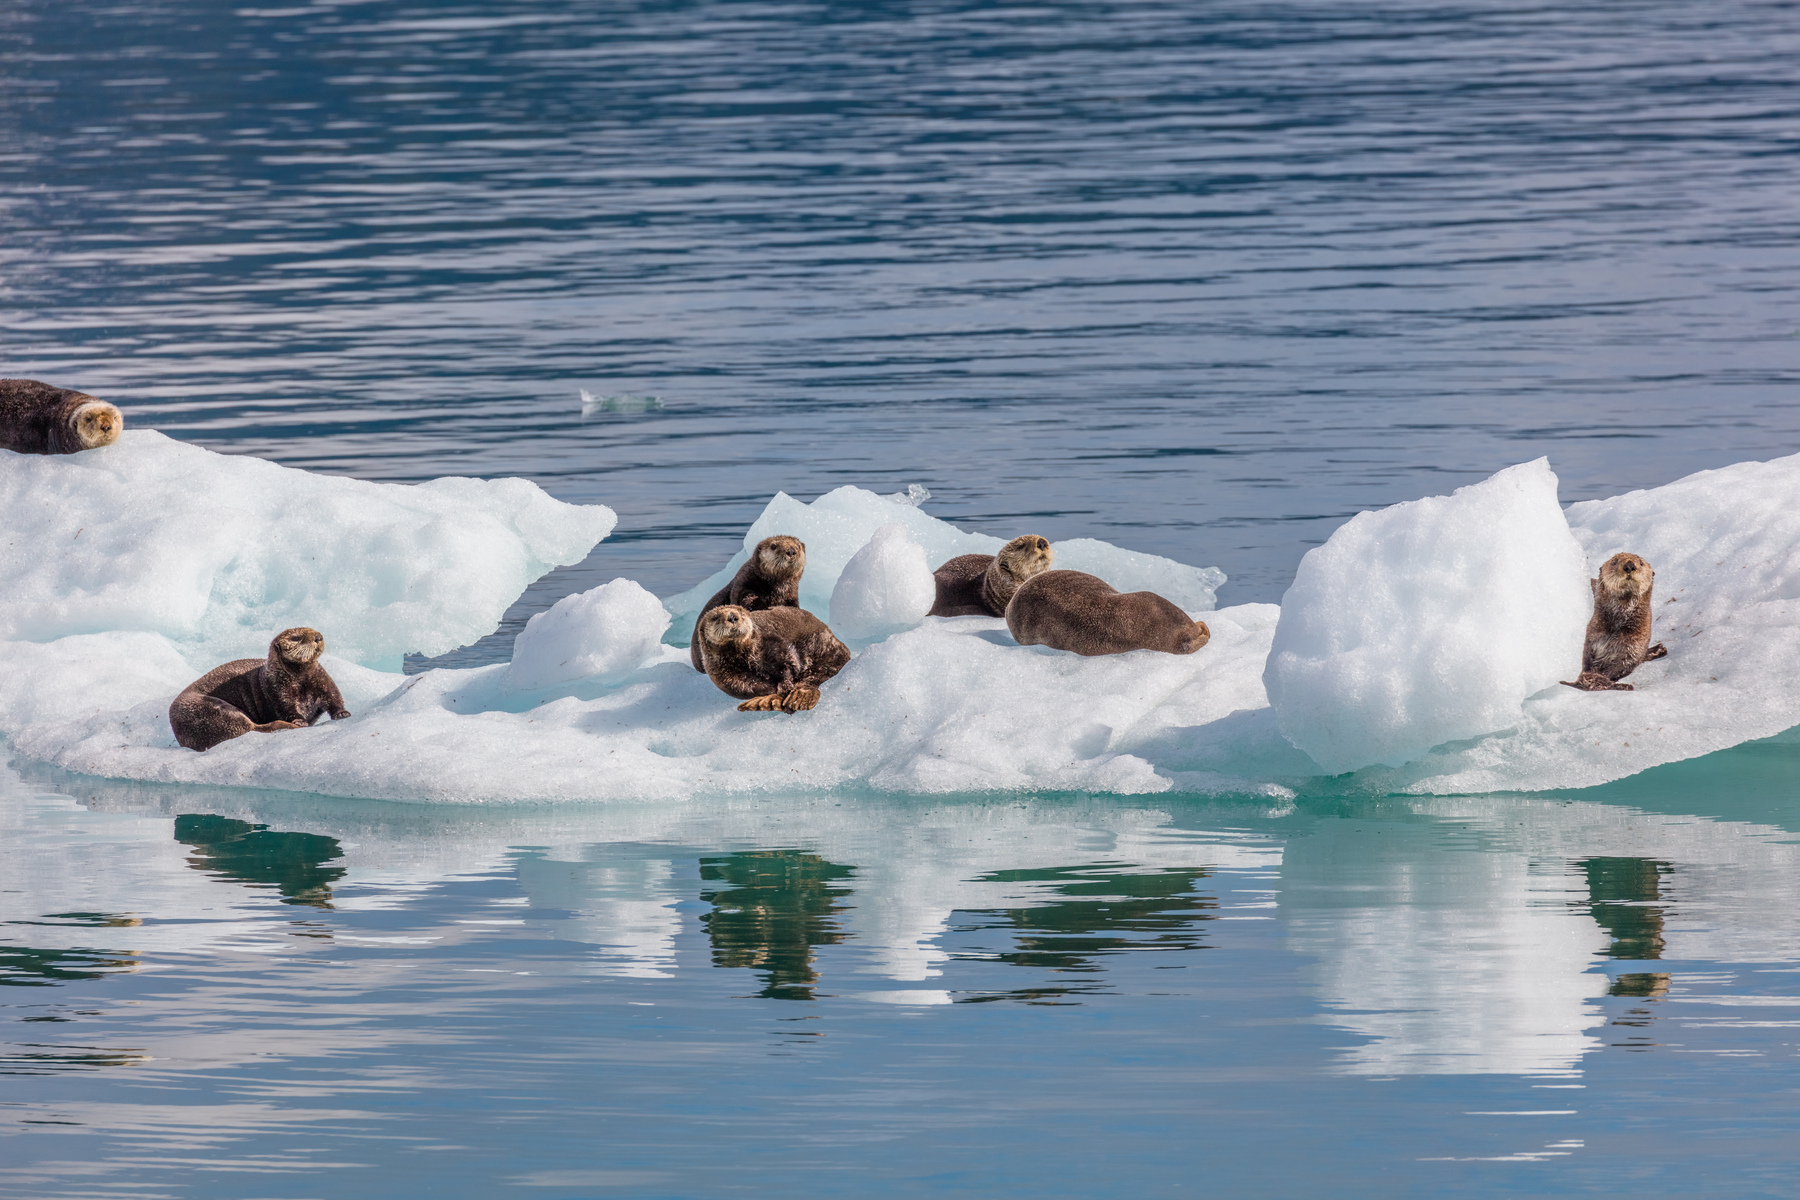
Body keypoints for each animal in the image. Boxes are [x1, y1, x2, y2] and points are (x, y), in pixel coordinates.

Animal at [173, 629, 356, 752]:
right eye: (295, 638)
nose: (318, 637)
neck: (301, 680)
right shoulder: (277, 689)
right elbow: (286, 707)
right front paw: (300, 721)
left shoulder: (322, 680)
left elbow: (334, 696)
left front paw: (342, 713)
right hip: (215, 710)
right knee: (255, 727)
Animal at [684, 536, 806, 672]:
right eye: (773, 546)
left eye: (798, 546)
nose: (791, 550)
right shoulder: (744, 585)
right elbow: (747, 603)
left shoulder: (791, 598)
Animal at [694, 604, 849, 708]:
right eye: (715, 617)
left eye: (742, 613)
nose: (733, 616)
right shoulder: (724, 674)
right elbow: (745, 685)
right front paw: (776, 689)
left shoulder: (769, 641)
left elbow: (786, 659)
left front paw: (785, 684)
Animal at [1555, 550, 1663, 690]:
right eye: (1614, 562)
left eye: (1641, 563)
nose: (1629, 565)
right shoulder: (1593, 634)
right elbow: (1587, 659)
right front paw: (1589, 678)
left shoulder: (1635, 644)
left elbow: (1623, 666)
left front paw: (1603, 680)